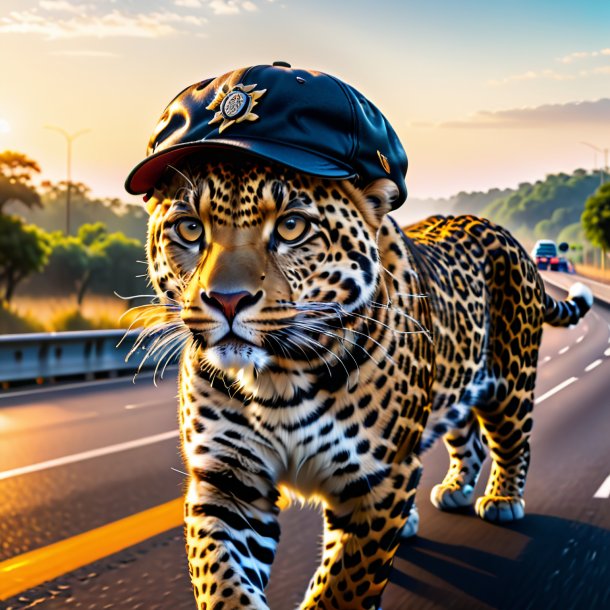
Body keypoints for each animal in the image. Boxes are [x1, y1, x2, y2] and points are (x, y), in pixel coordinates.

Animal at [135, 158, 592, 608]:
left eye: (291, 226)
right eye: (189, 228)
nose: (227, 300)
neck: (278, 379)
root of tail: (499, 230)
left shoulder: (379, 478)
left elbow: (345, 584)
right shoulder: (228, 479)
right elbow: (223, 583)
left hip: (510, 381)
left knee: (514, 441)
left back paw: (502, 499)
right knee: (468, 438)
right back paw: (454, 490)